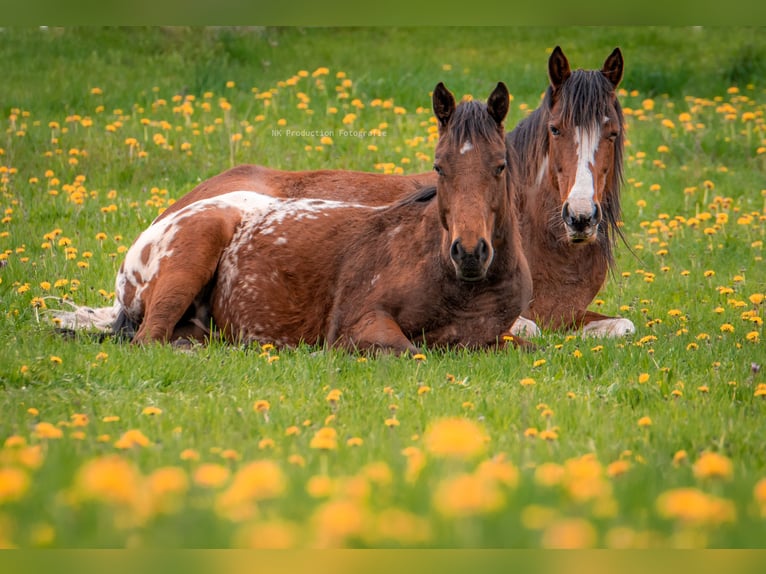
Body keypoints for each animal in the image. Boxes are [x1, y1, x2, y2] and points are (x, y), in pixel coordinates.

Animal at [57, 82, 536, 354]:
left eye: (500, 166)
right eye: (439, 167)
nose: (469, 252)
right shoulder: (362, 323)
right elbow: (407, 349)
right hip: (188, 262)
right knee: (148, 341)